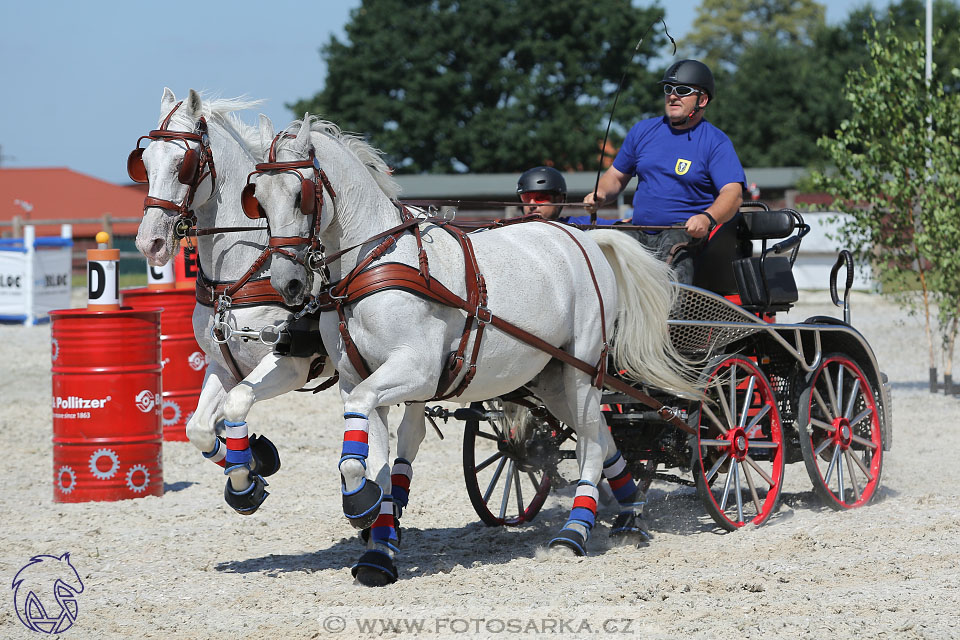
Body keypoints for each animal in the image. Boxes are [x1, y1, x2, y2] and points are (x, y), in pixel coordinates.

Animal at [129, 90, 336, 512]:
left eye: (183, 165)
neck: (242, 274)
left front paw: (247, 475)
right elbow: (199, 428)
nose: (149, 243)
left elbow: (234, 406)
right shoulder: (222, 366)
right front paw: (252, 469)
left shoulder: (291, 366)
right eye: (145, 162)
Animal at [246, 115, 696, 584]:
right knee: (603, 434)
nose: (286, 283)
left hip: (583, 369)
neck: (374, 261)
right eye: (258, 198)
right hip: (550, 377)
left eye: (300, 194)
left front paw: (358, 504)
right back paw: (629, 516)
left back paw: (574, 533)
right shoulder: (358, 380)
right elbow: (376, 460)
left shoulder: (415, 371)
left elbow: (362, 448)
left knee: (590, 442)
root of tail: (585, 240)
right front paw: (378, 547)